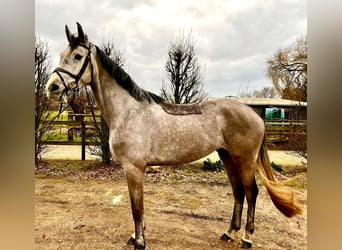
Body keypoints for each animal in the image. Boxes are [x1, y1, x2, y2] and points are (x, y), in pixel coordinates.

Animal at [44, 22, 302, 249]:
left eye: (78, 56)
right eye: (62, 54)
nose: (52, 87)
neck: (128, 111)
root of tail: (254, 114)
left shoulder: (134, 168)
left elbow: (136, 208)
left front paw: (139, 242)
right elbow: (138, 207)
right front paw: (136, 236)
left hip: (245, 160)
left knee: (251, 192)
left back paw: (247, 238)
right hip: (227, 156)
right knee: (238, 191)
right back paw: (229, 233)